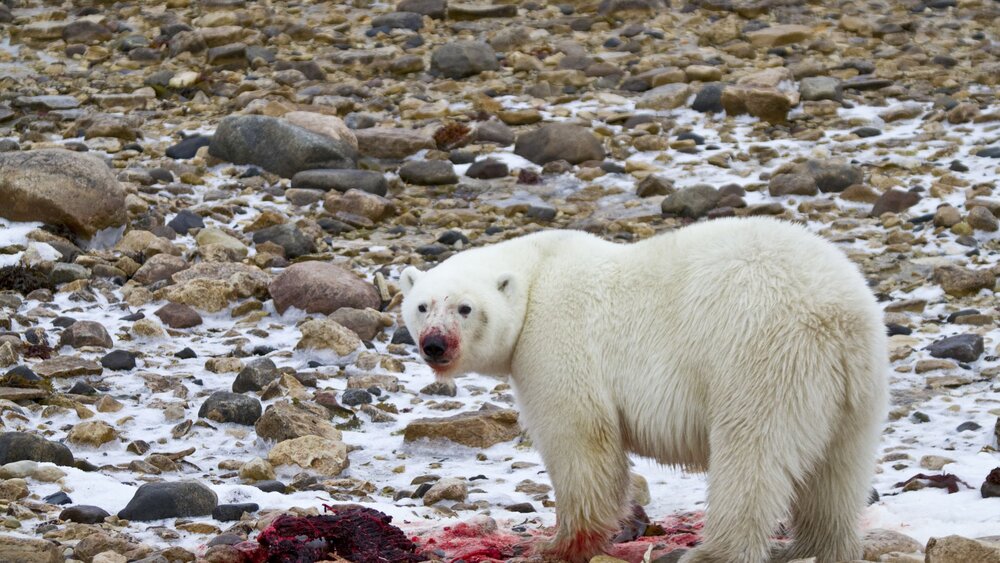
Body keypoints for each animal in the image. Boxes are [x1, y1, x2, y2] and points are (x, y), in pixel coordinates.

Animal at [400, 217, 888, 563]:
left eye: (465, 307)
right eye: (422, 305)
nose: (435, 344)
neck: (538, 271)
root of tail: (836, 317)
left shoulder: (557, 342)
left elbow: (580, 441)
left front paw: (558, 545)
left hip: (761, 359)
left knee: (752, 456)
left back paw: (713, 552)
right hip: (857, 387)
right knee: (839, 470)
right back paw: (815, 548)